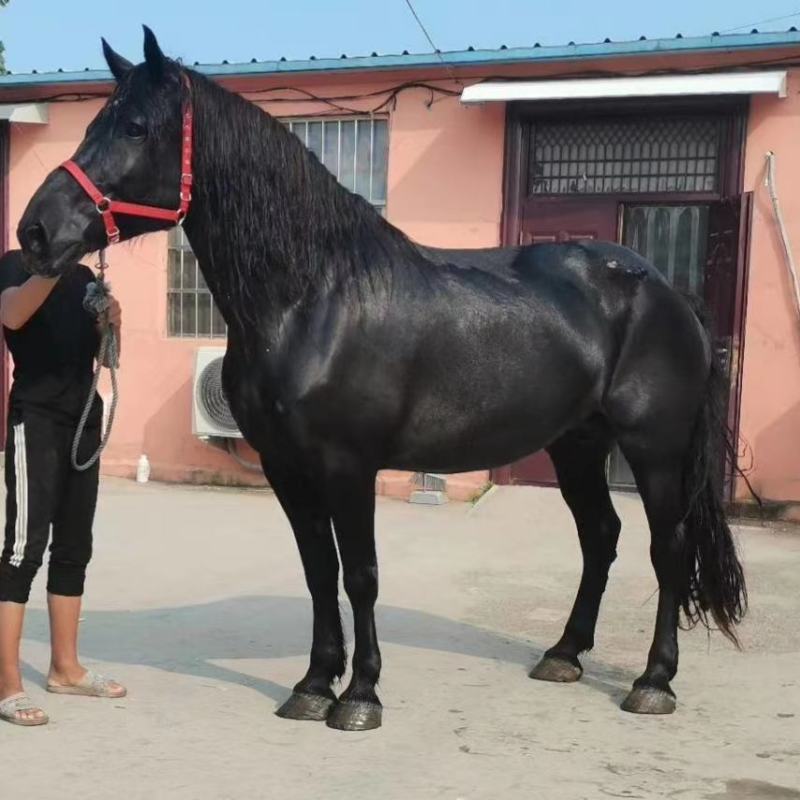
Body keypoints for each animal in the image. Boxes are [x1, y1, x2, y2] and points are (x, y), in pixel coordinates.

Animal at [17, 28, 746, 731]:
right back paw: (564, 654)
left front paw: (360, 696)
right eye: (93, 124)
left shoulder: (348, 465)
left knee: (668, 547)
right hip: (577, 443)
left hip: (654, 449)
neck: (311, 296)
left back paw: (653, 682)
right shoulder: (286, 466)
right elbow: (319, 572)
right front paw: (313, 686)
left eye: (136, 127)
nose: (36, 229)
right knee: (601, 536)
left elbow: (361, 575)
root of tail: (666, 289)